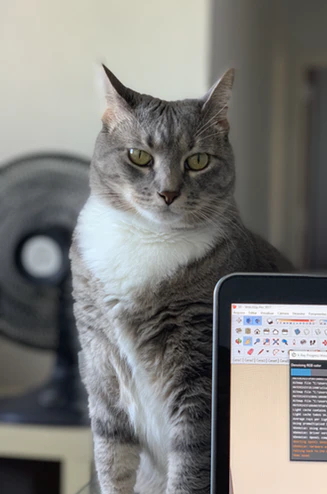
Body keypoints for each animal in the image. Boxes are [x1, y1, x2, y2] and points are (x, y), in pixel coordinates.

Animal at [70, 65, 294, 494]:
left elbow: (190, 463)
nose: (168, 192)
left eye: (198, 160)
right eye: (139, 156)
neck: (146, 237)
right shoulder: (100, 365)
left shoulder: (198, 376)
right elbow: (112, 459)